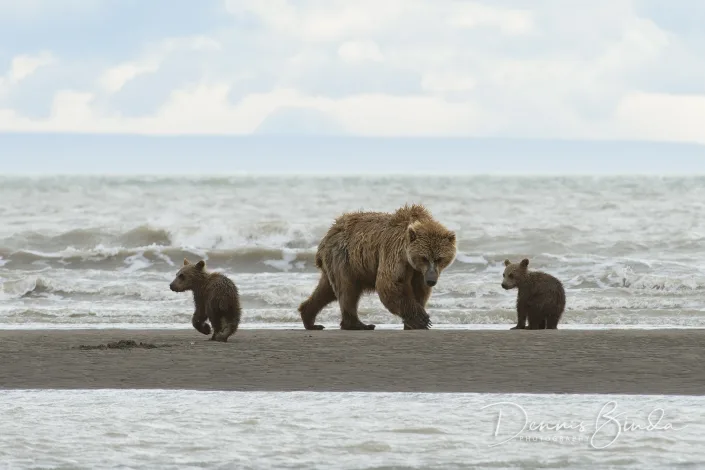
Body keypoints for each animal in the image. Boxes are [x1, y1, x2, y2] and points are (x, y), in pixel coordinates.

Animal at [298, 203, 457, 331]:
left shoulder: (418, 272)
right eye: (424, 257)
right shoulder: (395, 254)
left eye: (439, 259)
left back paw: (310, 319)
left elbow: (419, 290)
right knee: (348, 291)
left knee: (326, 290)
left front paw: (413, 323)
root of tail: (328, 233)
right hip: (344, 259)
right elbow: (390, 284)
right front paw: (422, 319)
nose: (431, 280)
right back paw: (359, 324)